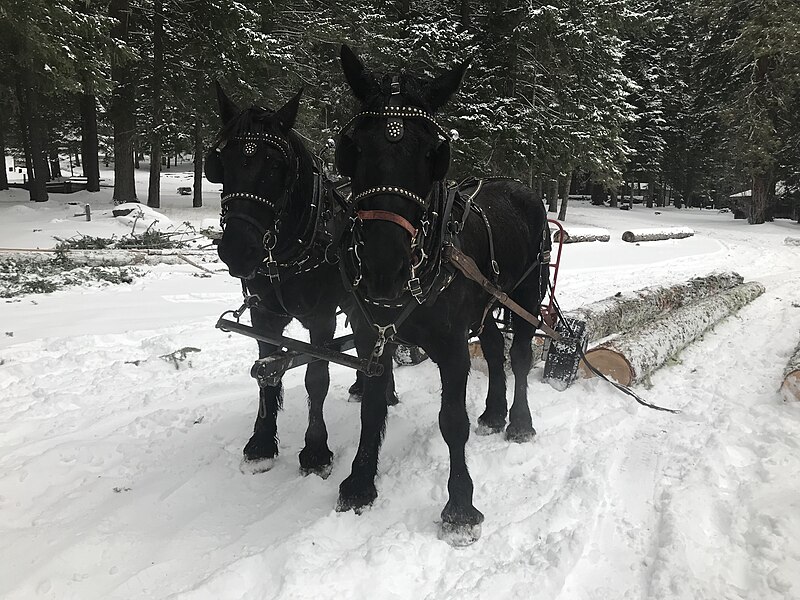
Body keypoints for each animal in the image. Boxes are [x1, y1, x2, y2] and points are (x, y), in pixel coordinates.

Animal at [205, 84, 396, 476]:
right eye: (221, 163)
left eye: (277, 166)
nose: (237, 250)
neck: (288, 252)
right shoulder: (262, 316)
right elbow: (267, 371)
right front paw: (262, 441)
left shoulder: (321, 319)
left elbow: (316, 377)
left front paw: (315, 449)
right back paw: (364, 385)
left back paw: (384, 390)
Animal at [332, 45, 552, 544]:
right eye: (353, 147)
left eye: (434, 152)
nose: (384, 268)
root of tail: (521, 186)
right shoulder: (372, 337)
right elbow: (372, 408)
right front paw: (359, 483)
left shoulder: (451, 347)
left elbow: (452, 421)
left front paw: (460, 507)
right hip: (487, 303)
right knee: (492, 348)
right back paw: (493, 413)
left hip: (527, 295)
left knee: (520, 356)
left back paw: (519, 422)